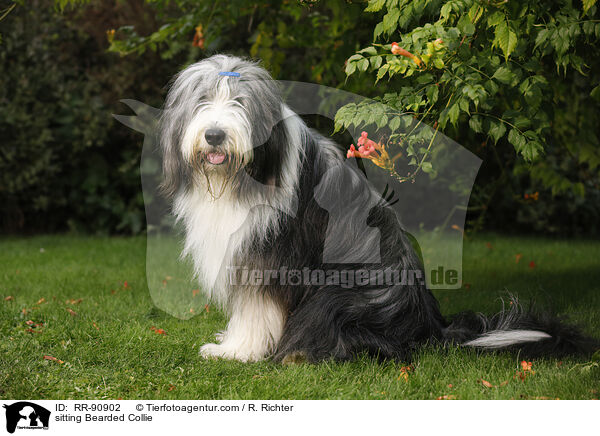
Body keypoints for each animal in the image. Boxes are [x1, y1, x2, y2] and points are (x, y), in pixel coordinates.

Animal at [158, 53, 596, 362]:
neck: (241, 174)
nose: (215, 136)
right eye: (202, 100)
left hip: (339, 292)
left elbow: (255, 307)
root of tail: (428, 327)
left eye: (240, 102)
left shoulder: (272, 255)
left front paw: (237, 351)